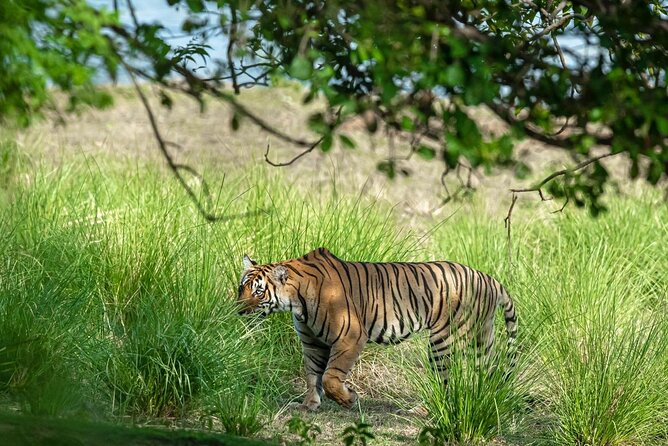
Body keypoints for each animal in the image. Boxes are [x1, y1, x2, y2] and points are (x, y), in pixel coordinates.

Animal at [237, 247, 517, 411]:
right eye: (242, 287)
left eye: (259, 292)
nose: (237, 311)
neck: (296, 302)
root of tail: (489, 278)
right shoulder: (312, 342)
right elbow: (312, 374)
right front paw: (309, 404)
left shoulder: (350, 336)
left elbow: (330, 377)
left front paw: (348, 399)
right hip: (481, 338)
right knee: (489, 370)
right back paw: (487, 398)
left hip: (444, 339)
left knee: (444, 379)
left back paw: (423, 410)